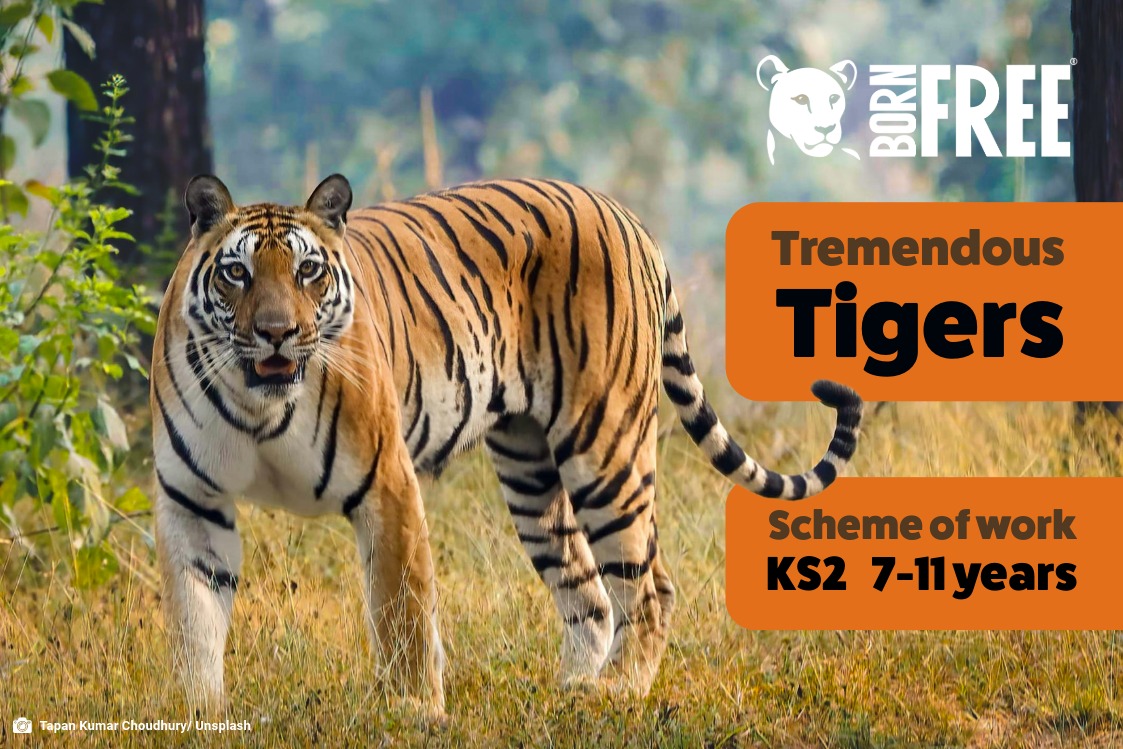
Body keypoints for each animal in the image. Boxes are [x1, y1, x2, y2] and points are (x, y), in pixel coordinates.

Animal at [150, 173, 863, 713]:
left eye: (307, 271)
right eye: (238, 273)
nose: (276, 333)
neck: (261, 405)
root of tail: (626, 216)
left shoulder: (387, 484)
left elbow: (402, 611)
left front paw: (412, 711)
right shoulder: (192, 500)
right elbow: (195, 621)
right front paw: (202, 715)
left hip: (605, 448)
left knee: (649, 585)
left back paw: (617, 693)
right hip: (530, 471)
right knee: (588, 592)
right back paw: (570, 691)